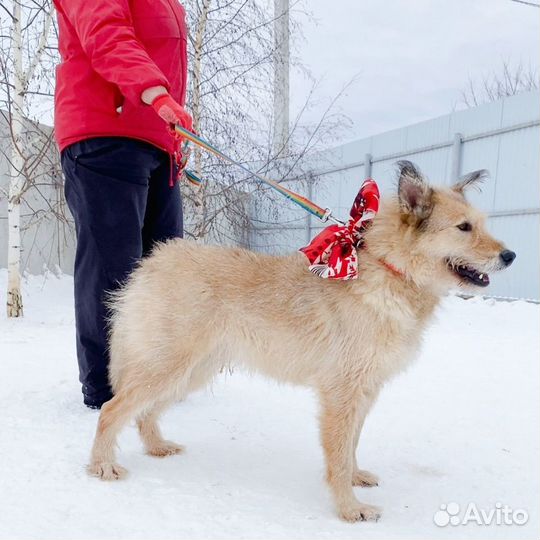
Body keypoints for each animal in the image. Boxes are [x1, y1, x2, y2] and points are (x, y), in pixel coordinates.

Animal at [87, 161, 516, 524]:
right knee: (111, 409)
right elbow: (338, 455)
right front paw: (349, 509)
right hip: (168, 366)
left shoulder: (365, 391)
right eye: (463, 228)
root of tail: (155, 261)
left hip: (189, 372)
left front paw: (355, 478)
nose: (510, 255)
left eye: (480, 224)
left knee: (143, 412)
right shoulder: (341, 395)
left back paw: (156, 446)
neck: (391, 271)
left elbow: (352, 444)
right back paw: (101, 464)